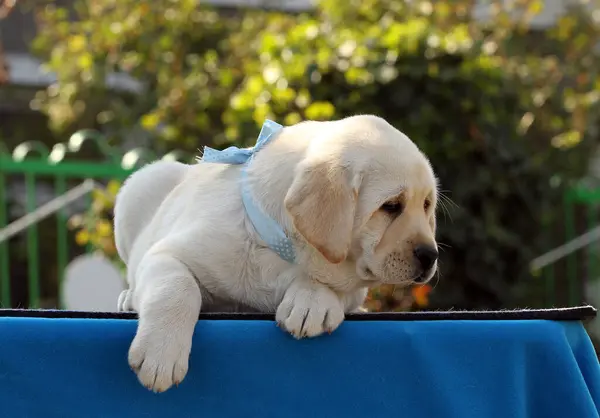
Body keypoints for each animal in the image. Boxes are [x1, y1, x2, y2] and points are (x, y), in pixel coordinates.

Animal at [115, 114, 438, 392]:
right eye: (391, 206)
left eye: (426, 205)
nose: (431, 255)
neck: (282, 252)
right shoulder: (167, 253)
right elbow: (177, 287)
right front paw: (161, 353)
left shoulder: (350, 282)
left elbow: (335, 285)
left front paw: (312, 302)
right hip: (144, 183)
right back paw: (129, 298)